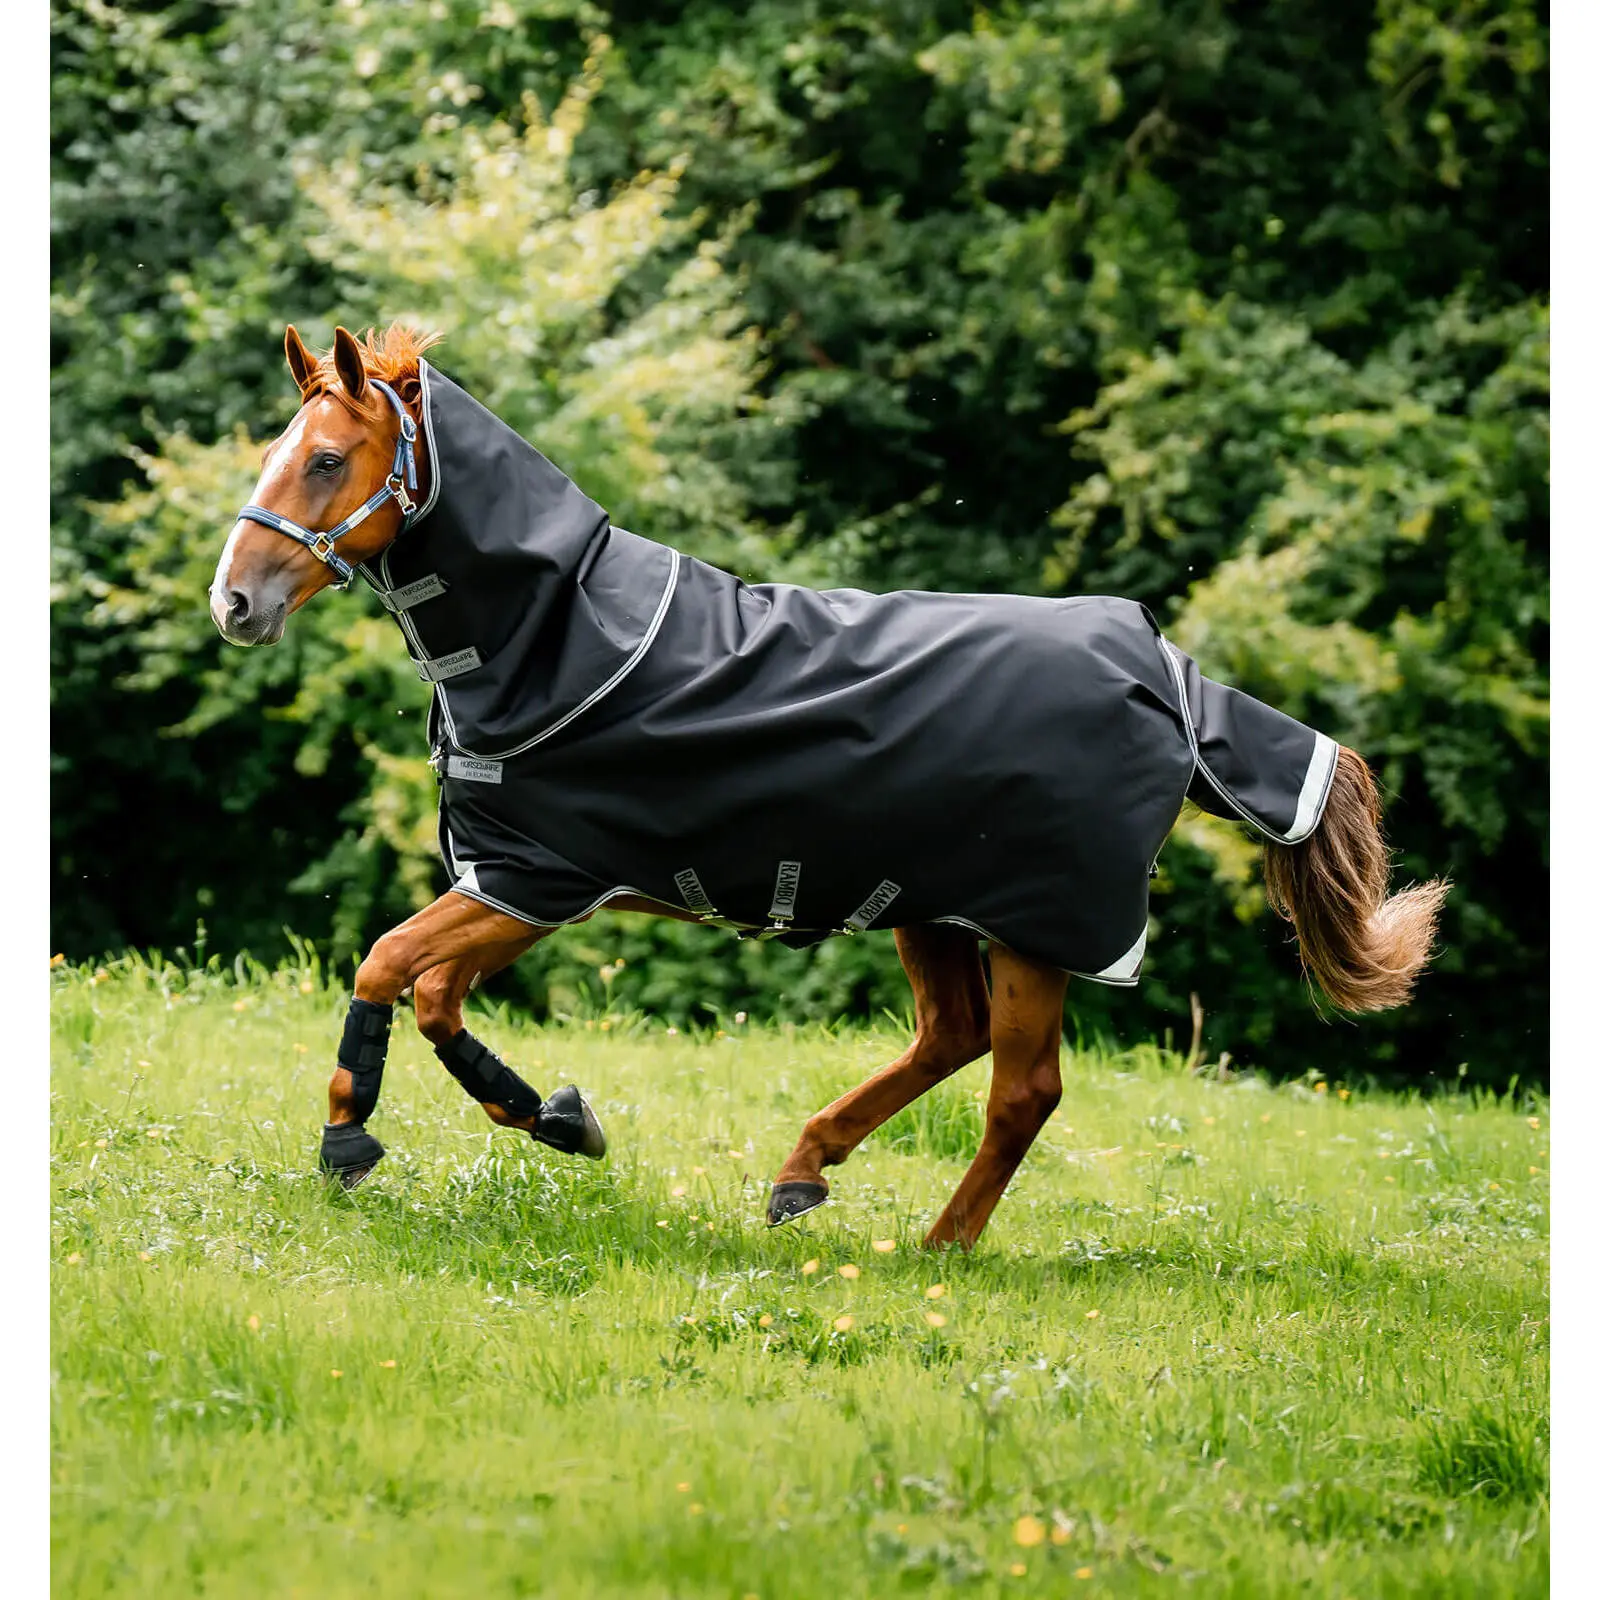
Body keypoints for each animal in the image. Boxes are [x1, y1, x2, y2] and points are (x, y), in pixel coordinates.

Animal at [208, 322, 1446, 1250]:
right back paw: (804, 1172)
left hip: (1034, 926)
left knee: (1021, 1088)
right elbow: (432, 994)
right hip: (930, 903)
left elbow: (391, 967)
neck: (558, 634)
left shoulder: (537, 878)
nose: (235, 602)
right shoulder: (517, 883)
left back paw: (940, 1243)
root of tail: (1167, 672)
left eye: (326, 459)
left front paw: (353, 1141)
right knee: (952, 1038)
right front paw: (555, 1115)